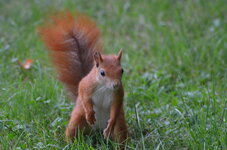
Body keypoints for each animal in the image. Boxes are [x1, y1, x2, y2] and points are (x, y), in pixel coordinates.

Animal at [38, 12, 127, 146]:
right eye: (102, 73)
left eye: (121, 70)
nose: (115, 84)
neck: (104, 87)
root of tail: (97, 129)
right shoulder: (86, 85)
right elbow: (85, 96)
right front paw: (90, 114)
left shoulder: (118, 93)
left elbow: (116, 107)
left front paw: (111, 123)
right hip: (77, 120)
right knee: (72, 132)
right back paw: (70, 143)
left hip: (120, 125)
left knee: (120, 135)